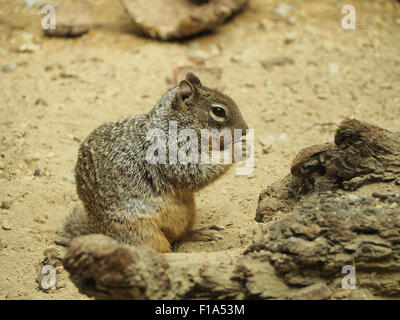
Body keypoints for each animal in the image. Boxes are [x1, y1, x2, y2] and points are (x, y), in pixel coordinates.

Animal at [61, 72, 247, 252]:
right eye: (218, 111)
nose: (245, 130)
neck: (175, 125)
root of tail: (100, 232)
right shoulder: (169, 152)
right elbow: (195, 172)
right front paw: (237, 150)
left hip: (187, 212)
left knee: (179, 236)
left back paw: (201, 232)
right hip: (142, 232)